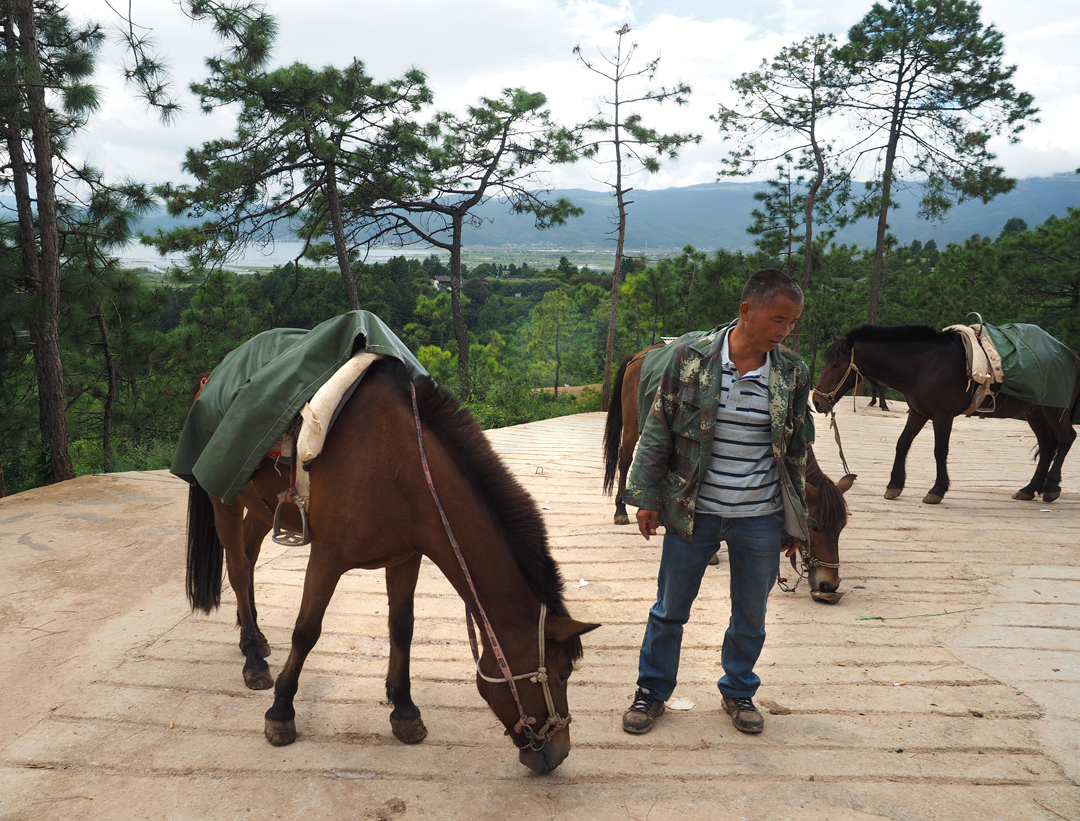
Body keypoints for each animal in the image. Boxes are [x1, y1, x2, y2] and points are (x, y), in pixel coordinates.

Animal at [604, 343, 855, 600]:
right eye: (815, 526)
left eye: (841, 528)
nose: (829, 585)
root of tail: (639, 356)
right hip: (633, 425)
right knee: (625, 460)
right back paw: (621, 511)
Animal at [812, 324, 1080, 503]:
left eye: (836, 365)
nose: (816, 401)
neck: (926, 365)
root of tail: (1072, 355)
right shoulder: (918, 413)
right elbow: (902, 444)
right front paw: (895, 484)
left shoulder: (943, 415)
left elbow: (939, 450)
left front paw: (937, 490)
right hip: (1035, 411)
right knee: (1048, 445)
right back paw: (1029, 488)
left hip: (1055, 410)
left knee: (1066, 438)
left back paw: (1051, 487)